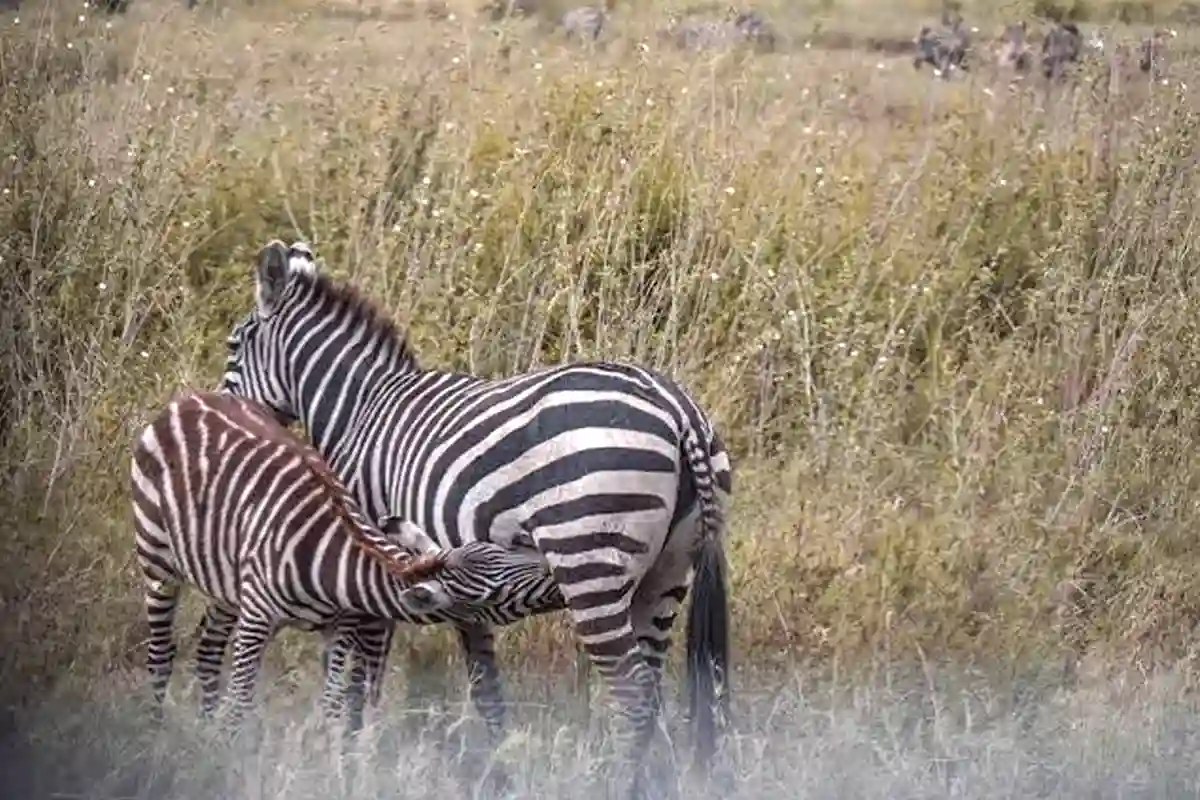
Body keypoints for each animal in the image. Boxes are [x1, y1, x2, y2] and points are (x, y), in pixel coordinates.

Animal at [131, 389, 564, 730]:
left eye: (504, 551)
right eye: (495, 592)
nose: (557, 578)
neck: (331, 564)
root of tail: (189, 399)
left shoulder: (340, 626)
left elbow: (335, 703)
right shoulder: (256, 618)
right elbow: (240, 701)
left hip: (224, 580)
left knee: (207, 649)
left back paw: (205, 727)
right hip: (157, 562)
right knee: (160, 655)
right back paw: (155, 738)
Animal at [219, 240, 733, 796]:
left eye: (233, 346)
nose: (222, 414)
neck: (359, 408)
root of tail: (677, 408)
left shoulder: (370, 561)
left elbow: (360, 678)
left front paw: (351, 759)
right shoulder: (457, 586)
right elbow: (485, 686)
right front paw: (496, 771)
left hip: (588, 561)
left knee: (633, 691)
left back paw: (608, 784)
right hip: (668, 573)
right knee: (651, 686)